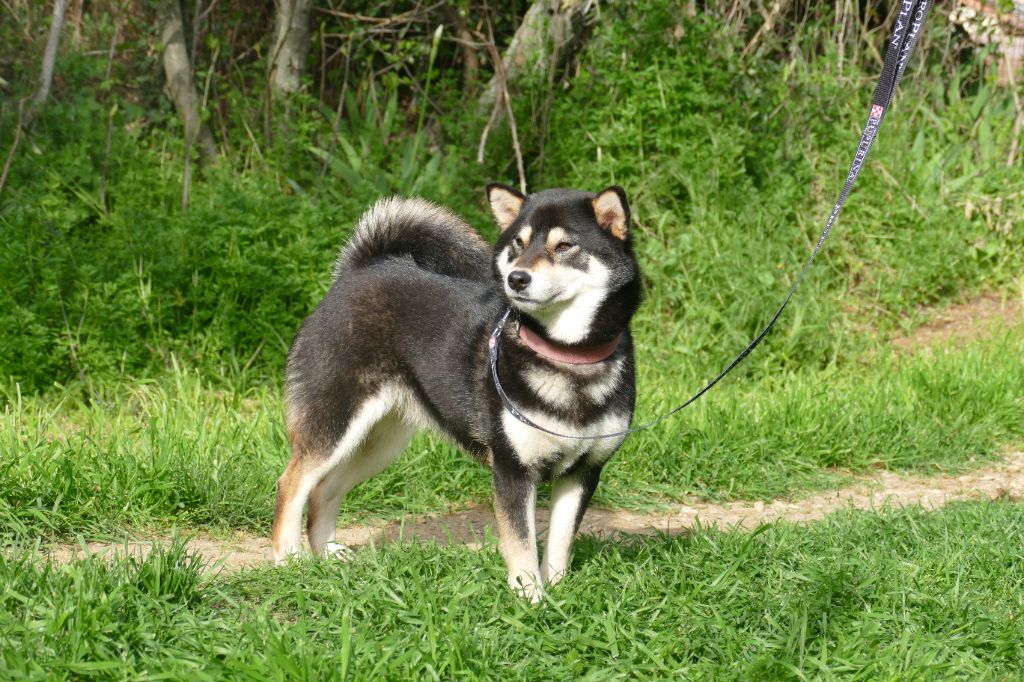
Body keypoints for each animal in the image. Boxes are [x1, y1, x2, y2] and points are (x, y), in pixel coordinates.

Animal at [272, 183, 638, 598]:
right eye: (519, 243)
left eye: (564, 246)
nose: (516, 278)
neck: (566, 356)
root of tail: (360, 271)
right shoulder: (512, 470)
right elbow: (522, 545)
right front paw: (530, 599)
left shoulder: (582, 472)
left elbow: (559, 546)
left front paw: (558, 596)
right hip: (334, 426)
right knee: (292, 484)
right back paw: (289, 559)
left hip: (377, 444)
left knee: (323, 490)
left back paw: (327, 556)